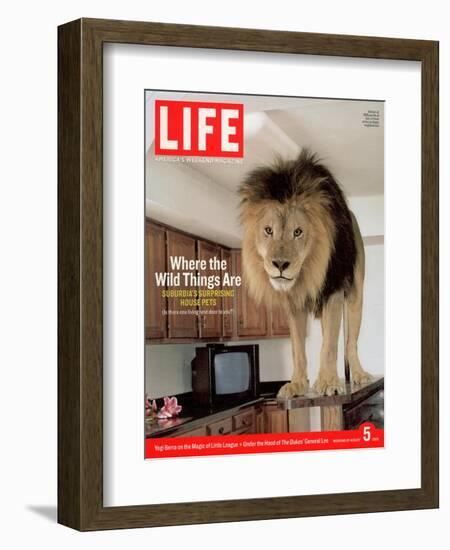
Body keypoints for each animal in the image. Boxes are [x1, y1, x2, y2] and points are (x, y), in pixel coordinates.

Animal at [239, 150, 372, 402]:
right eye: (268, 230)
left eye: (298, 232)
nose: (280, 265)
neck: (308, 271)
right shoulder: (294, 303)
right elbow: (297, 349)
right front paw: (298, 384)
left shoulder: (333, 290)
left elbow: (330, 346)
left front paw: (330, 383)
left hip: (354, 296)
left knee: (350, 343)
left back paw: (357, 375)